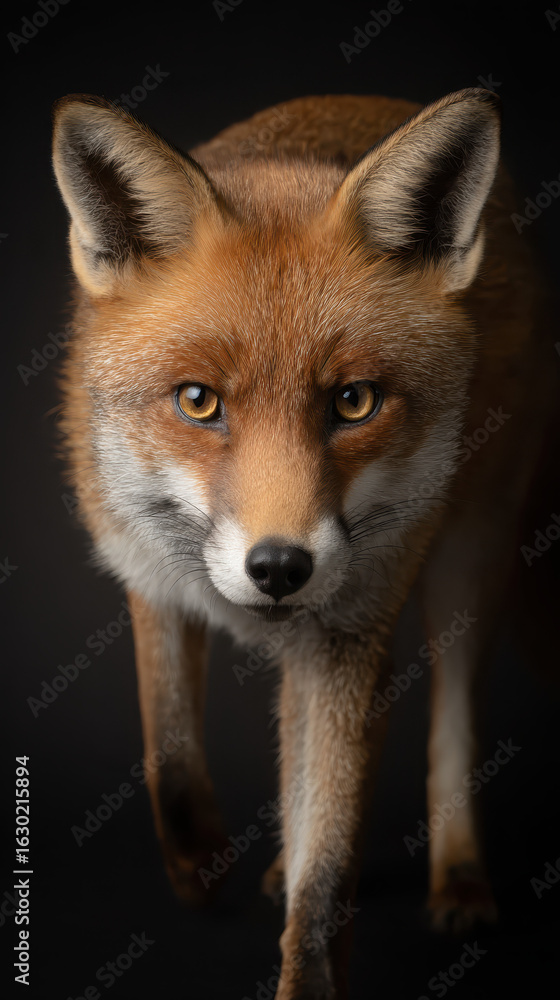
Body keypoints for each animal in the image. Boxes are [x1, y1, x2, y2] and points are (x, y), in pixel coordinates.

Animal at [52, 88, 555, 998]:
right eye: (198, 401)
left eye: (353, 402)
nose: (281, 568)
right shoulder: (147, 576)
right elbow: (168, 752)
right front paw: (199, 866)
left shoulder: (344, 643)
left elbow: (324, 887)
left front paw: (309, 957)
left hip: (470, 560)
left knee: (449, 732)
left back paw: (460, 879)